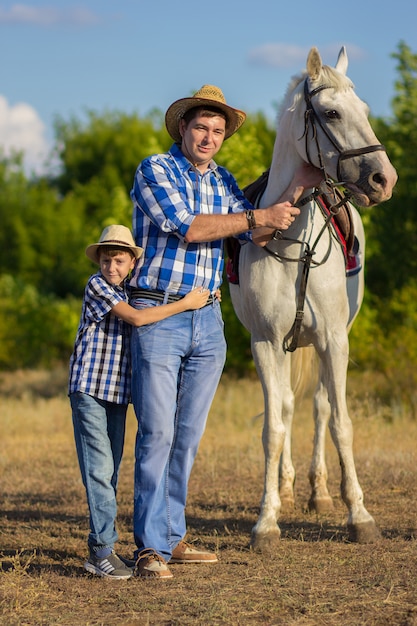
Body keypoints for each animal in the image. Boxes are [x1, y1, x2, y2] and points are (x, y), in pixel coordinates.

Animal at [229, 45, 394, 544]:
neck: (292, 241)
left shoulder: (334, 342)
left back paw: (320, 492)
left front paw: (359, 515)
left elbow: (340, 422)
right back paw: (285, 486)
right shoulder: (266, 344)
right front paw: (267, 520)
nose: (384, 179)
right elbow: (274, 426)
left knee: (320, 406)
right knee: (284, 406)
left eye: (365, 111)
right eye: (332, 113)